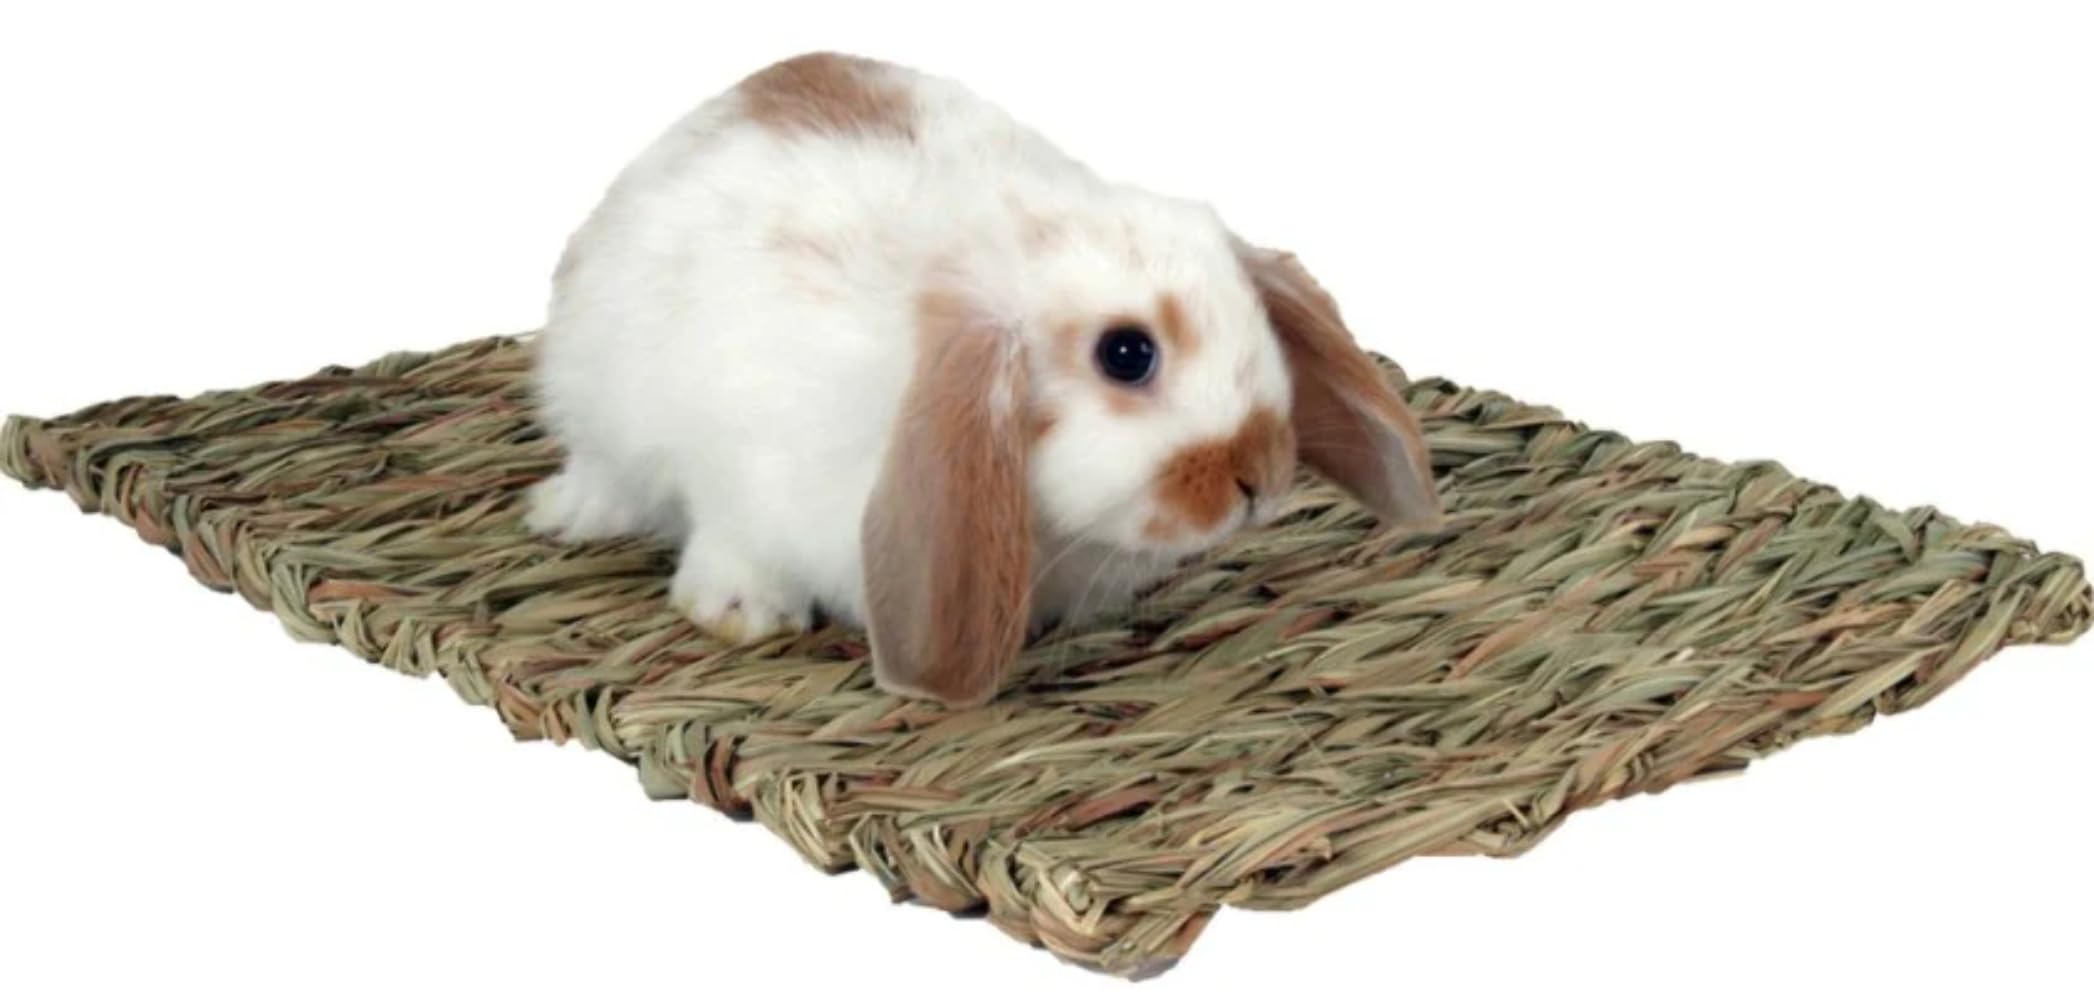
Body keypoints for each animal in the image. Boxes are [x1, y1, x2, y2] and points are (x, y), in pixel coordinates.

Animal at [527, 52, 1442, 707]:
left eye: (1255, 315)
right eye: (1127, 354)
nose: (1259, 477)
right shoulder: (741, 474)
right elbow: (732, 543)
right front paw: (740, 616)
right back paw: (568, 513)